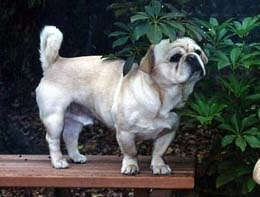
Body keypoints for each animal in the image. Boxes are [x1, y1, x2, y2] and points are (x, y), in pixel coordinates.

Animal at [36, 25, 207, 175]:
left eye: (198, 51)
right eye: (175, 57)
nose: (193, 57)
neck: (161, 97)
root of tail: (55, 62)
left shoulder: (167, 132)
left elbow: (159, 152)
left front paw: (159, 166)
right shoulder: (125, 133)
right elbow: (131, 152)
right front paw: (131, 166)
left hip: (75, 120)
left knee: (69, 136)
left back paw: (76, 157)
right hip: (54, 118)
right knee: (53, 139)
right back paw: (58, 161)